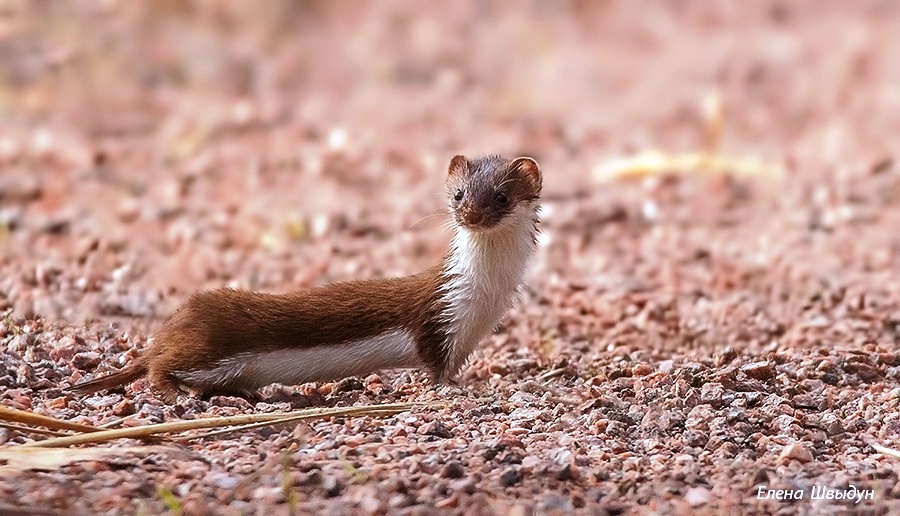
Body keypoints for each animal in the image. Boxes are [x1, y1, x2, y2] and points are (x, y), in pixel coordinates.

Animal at [68, 154, 540, 404]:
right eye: (458, 194)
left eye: (501, 196)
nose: (471, 213)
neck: (486, 298)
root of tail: (175, 324)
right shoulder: (437, 322)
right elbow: (436, 368)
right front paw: (455, 388)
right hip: (210, 348)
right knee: (159, 366)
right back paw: (176, 391)